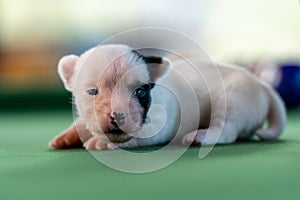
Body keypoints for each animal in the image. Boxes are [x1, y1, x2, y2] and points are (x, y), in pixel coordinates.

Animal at [49, 43, 286, 150]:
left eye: (140, 91)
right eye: (92, 92)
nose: (118, 116)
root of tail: (261, 84)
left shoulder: (156, 125)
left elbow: (135, 135)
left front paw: (102, 142)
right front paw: (68, 135)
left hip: (235, 99)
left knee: (226, 129)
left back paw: (202, 136)